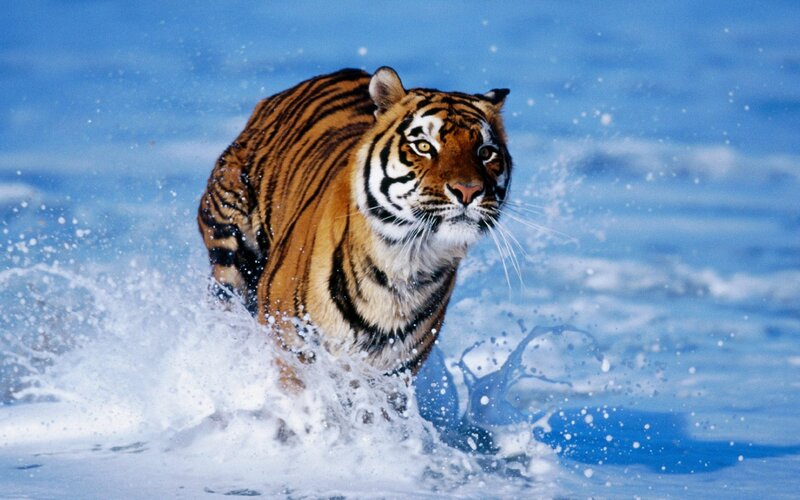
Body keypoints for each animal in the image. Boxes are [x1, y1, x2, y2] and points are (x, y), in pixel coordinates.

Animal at [197, 67, 511, 377]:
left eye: (486, 152)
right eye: (423, 146)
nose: (468, 190)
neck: (405, 264)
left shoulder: (392, 373)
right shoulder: (290, 346)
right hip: (231, 255)